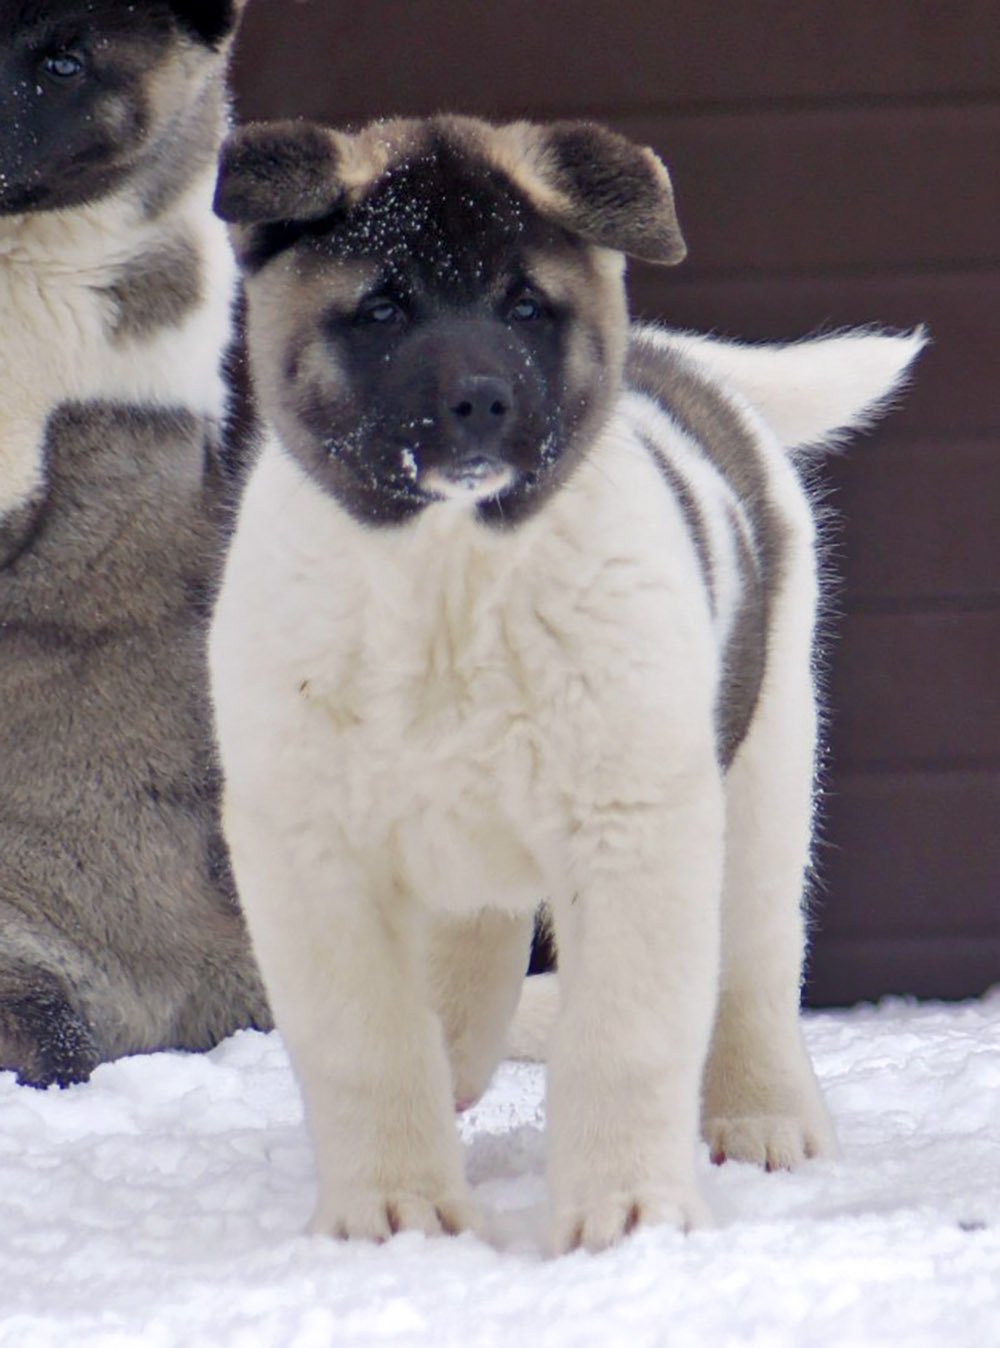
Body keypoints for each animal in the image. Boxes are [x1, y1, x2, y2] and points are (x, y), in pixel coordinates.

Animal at [208, 113, 921, 1250]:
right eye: (383, 307)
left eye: (525, 306)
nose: (479, 401)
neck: (449, 578)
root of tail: (674, 361)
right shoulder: (307, 846)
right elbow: (366, 1042)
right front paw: (395, 1215)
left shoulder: (636, 824)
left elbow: (625, 1034)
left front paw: (630, 1219)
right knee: (473, 965)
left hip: (767, 766)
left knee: (756, 961)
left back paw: (764, 1117)